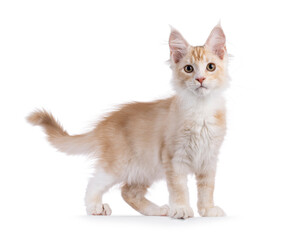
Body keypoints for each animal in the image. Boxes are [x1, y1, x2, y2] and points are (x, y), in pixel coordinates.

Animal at [28, 23, 230, 219]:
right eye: (189, 69)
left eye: (210, 67)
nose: (200, 79)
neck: (201, 110)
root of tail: (104, 124)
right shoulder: (174, 158)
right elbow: (179, 188)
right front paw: (181, 209)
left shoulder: (209, 158)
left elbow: (207, 188)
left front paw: (207, 210)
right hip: (119, 164)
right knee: (94, 183)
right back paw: (95, 207)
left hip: (146, 168)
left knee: (128, 192)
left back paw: (157, 210)